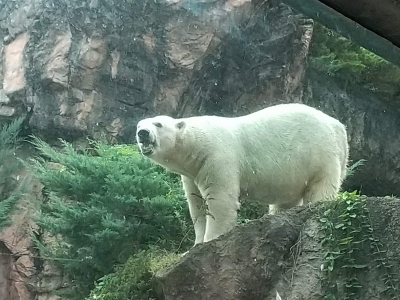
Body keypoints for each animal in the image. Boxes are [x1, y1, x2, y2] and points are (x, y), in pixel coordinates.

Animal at [136, 103, 348, 246]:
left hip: (320, 152)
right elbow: (196, 204)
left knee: (321, 185)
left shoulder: (217, 156)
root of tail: (338, 126)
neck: (196, 143)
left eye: (158, 124)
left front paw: (210, 239)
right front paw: (195, 244)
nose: (143, 133)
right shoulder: (191, 173)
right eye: (138, 125)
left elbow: (220, 200)